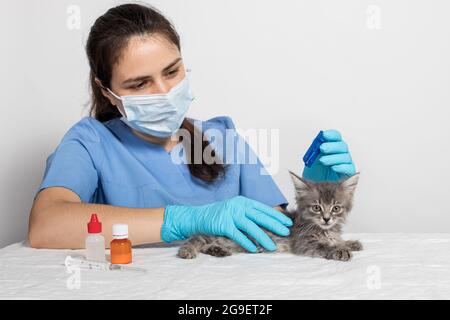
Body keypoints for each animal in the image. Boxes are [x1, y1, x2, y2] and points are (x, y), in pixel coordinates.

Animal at [177, 171, 362, 262]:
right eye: (316, 208)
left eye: (336, 208)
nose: (326, 218)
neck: (324, 230)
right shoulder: (304, 243)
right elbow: (324, 246)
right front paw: (339, 250)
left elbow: (337, 240)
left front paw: (349, 243)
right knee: (198, 238)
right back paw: (190, 249)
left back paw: (217, 250)